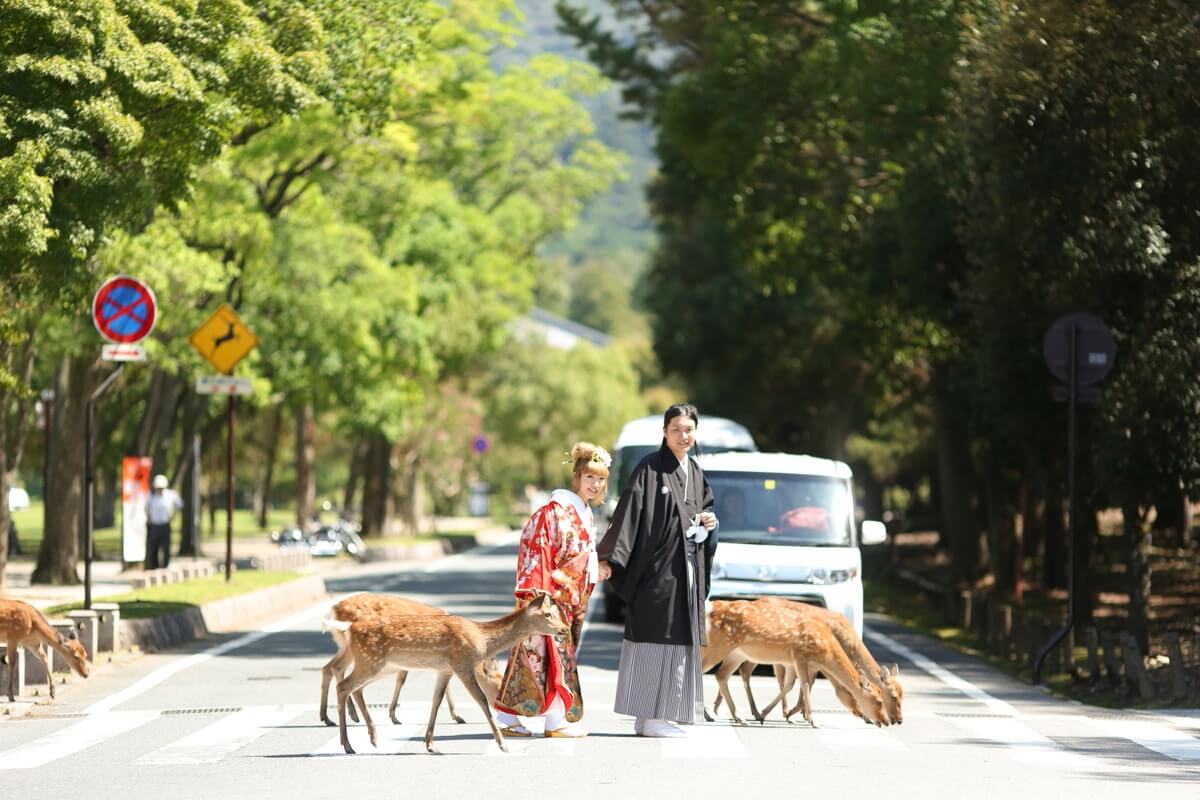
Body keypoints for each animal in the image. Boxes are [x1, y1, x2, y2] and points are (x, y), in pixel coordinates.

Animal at [316, 592, 499, 729]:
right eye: (499, 686)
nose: (500, 709)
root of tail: (332, 610)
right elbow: (403, 680)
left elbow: (407, 679)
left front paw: (457, 716)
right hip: (358, 649)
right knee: (337, 669)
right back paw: (349, 715)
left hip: (345, 645)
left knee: (330, 667)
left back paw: (328, 717)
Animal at [700, 597, 888, 729]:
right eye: (879, 701)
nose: (887, 721)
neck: (826, 648)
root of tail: (710, 609)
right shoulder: (800, 656)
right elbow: (804, 684)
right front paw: (812, 720)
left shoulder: (791, 661)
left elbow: (790, 685)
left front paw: (770, 715)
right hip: (719, 645)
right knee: (703, 669)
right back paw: (709, 714)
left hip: (736, 652)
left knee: (721, 675)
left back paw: (737, 717)